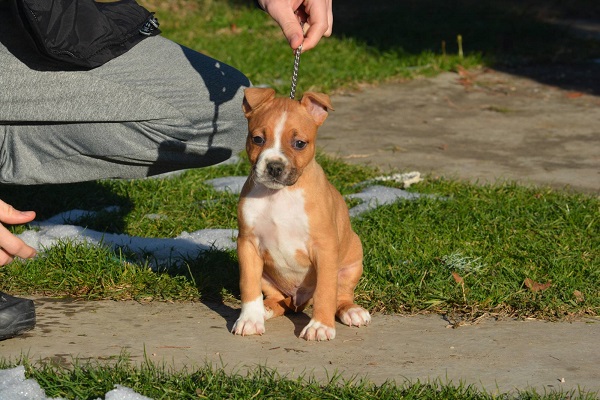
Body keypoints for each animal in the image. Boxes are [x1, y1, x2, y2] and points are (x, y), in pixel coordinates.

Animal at [233, 87, 370, 340]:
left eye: (299, 143)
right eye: (257, 139)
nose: (274, 166)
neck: (279, 195)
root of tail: (299, 301)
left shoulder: (324, 247)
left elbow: (326, 291)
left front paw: (320, 326)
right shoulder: (247, 244)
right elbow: (248, 285)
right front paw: (249, 320)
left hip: (352, 263)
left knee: (341, 295)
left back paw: (351, 311)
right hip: (268, 277)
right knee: (278, 300)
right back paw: (265, 309)